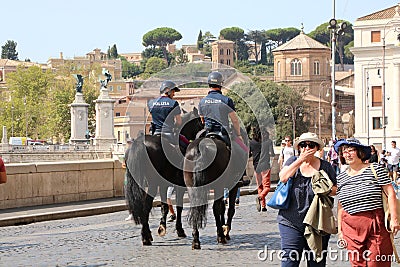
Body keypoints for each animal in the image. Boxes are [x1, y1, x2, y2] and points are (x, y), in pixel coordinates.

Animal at [126, 108, 203, 246]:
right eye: (199, 121)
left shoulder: (163, 184)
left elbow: (164, 206)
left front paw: (162, 227)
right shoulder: (179, 185)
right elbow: (179, 206)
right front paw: (179, 230)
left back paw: (147, 234)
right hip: (152, 183)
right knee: (146, 205)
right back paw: (145, 236)